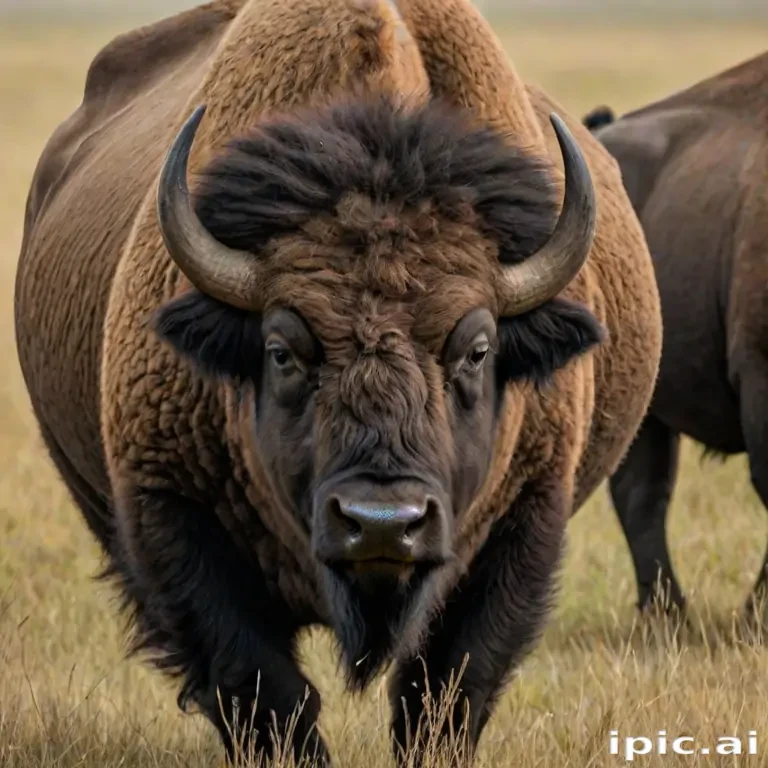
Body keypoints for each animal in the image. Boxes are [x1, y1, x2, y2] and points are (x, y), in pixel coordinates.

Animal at [15, 0, 661, 762]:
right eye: (281, 350)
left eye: (477, 349)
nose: (382, 523)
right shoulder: (173, 512)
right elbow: (263, 686)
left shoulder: (523, 520)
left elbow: (445, 690)